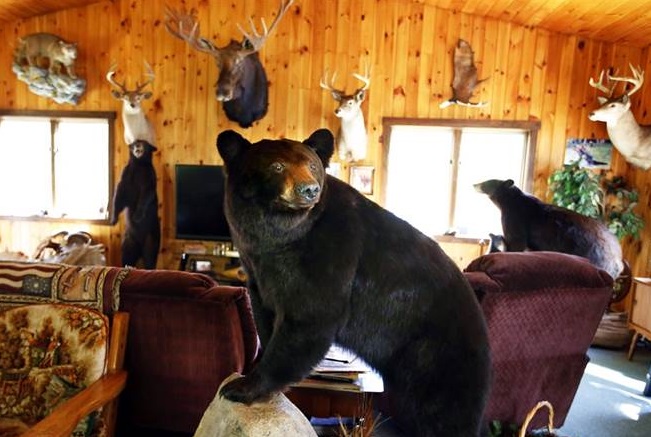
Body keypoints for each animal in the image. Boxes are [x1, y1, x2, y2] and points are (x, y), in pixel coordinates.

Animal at [109, 140, 160, 270]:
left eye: (144, 143)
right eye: (135, 143)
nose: (137, 145)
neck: (139, 164)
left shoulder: (149, 177)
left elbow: (146, 195)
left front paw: (137, 216)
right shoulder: (127, 174)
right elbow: (119, 195)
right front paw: (113, 219)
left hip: (151, 238)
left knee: (150, 257)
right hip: (128, 242)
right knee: (127, 256)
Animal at [216, 127, 492, 434]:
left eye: (312, 165)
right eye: (277, 166)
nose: (309, 189)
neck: (284, 234)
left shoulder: (332, 253)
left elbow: (310, 318)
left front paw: (242, 387)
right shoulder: (258, 272)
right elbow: (264, 315)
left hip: (437, 355)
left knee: (443, 410)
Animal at [476, 178, 624, 278]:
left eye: (488, 182)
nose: (475, 184)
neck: (508, 200)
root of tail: (619, 260)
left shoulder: (515, 219)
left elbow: (516, 243)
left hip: (593, 255)